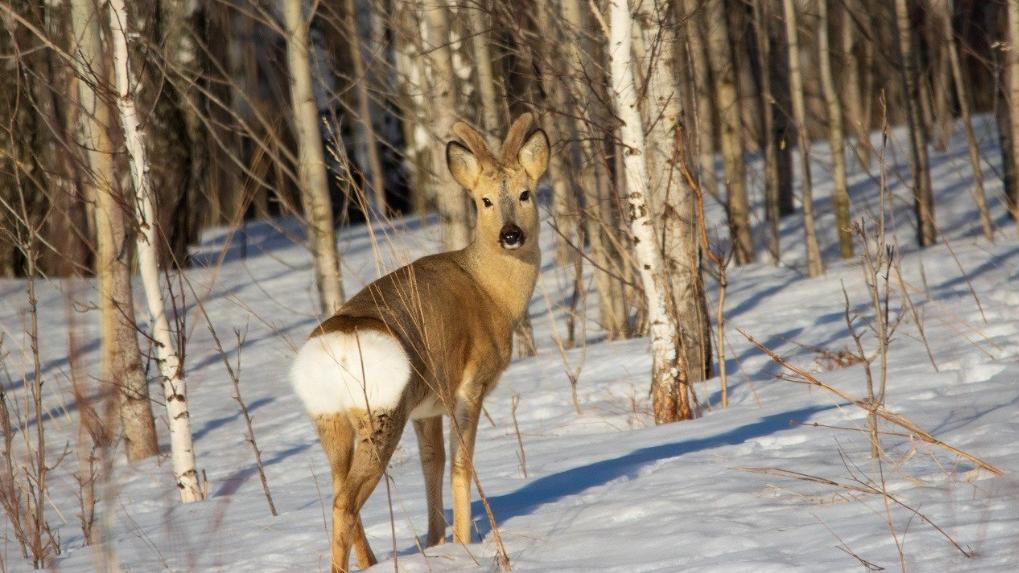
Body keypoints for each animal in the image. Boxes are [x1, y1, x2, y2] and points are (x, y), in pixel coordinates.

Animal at [291, 112, 550, 570]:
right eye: (484, 200)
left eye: (525, 193)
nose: (511, 234)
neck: (493, 294)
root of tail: (337, 344)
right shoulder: (469, 385)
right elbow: (461, 466)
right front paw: (464, 544)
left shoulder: (425, 406)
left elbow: (434, 465)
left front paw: (437, 542)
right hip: (380, 410)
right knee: (345, 501)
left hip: (329, 419)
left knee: (341, 491)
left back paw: (371, 560)